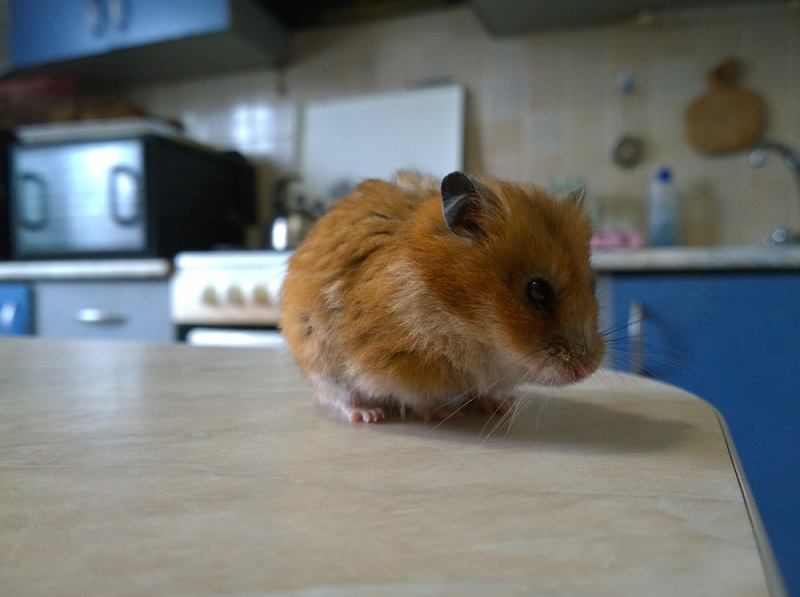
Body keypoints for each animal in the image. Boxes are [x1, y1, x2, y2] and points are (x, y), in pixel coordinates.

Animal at [280, 171, 605, 423]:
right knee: (339, 397)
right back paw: (369, 415)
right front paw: (440, 413)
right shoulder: (393, 363)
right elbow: (416, 398)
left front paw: (500, 406)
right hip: (317, 358)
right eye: (538, 290)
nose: (587, 368)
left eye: (593, 284)